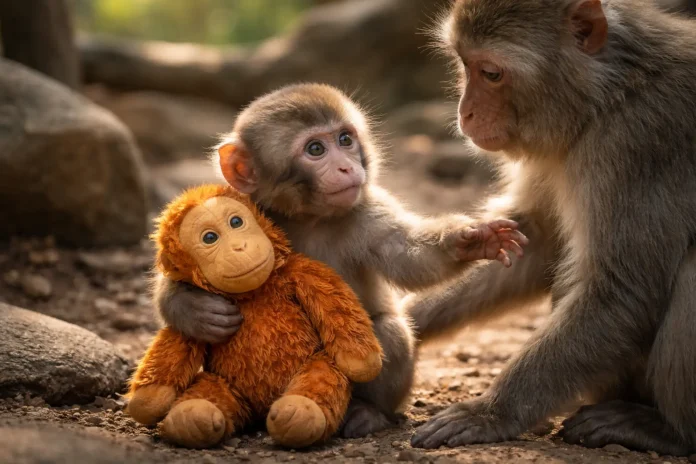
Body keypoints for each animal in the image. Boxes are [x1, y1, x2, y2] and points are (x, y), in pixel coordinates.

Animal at [153, 83, 529, 439]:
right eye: (316, 150)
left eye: (345, 140)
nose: (348, 166)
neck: (310, 218)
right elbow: (179, 269)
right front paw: (195, 310)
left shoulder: (367, 212)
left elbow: (410, 258)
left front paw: (474, 240)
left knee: (387, 330)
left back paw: (368, 411)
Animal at [407, 0, 696, 456]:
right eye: (464, 65)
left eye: (491, 73)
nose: (464, 113)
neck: (608, 94)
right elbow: (536, 241)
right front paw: (401, 322)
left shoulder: (638, 142)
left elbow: (622, 289)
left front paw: (491, 413)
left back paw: (668, 430)